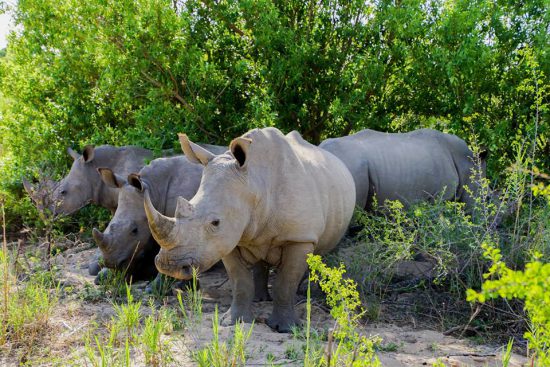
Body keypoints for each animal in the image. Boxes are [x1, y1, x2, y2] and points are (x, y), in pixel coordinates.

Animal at [144, 128, 356, 332]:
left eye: (215, 222)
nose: (169, 265)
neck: (255, 182)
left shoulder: (299, 237)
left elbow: (286, 281)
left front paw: (286, 328)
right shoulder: (229, 237)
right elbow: (240, 281)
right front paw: (233, 321)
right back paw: (260, 299)